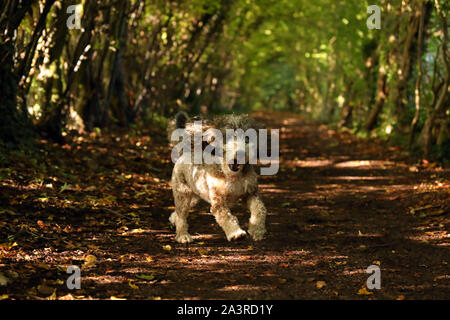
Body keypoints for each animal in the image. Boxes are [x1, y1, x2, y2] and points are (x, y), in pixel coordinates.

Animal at [168, 112, 268, 242]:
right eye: (228, 137)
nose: (240, 153)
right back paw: (183, 236)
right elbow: (226, 216)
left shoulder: (250, 193)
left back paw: (173, 219)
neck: (231, 175)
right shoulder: (218, 201)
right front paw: (236, 233)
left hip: (194, 195)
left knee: (179, 211)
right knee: (182, 214)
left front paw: (257, 230)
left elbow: (259, 208)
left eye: (247, 138)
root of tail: (184, 154)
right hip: (182, 193)